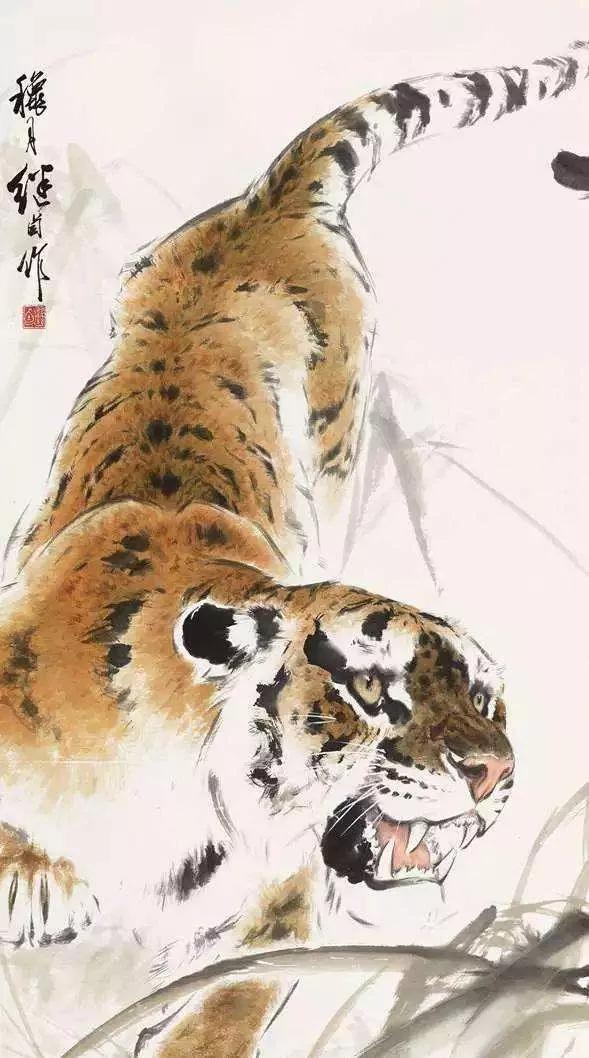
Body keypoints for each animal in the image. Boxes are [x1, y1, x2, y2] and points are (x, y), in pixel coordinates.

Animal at [1, 38, 587, 1058]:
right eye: (371, 690)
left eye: (484, 699)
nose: (495, 773)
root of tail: (267, 201)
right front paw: (36, 879)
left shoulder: (282, 905)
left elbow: (228, 1001)